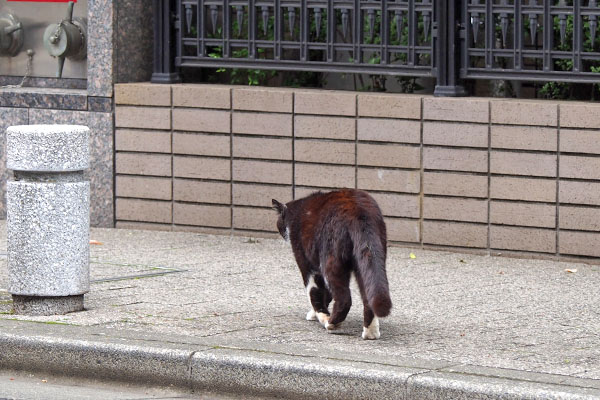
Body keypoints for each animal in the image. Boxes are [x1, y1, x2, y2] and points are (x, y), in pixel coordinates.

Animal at [274, 189, 394, 340]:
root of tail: (359, 210)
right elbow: (326, 294)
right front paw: (315, 313)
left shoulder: (306, 263)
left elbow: (314, 292)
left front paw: (321, 315)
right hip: (366, 260)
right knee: (367, 295)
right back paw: (370, 332)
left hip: (330, 260)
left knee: (344, 298)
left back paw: (332, 323)